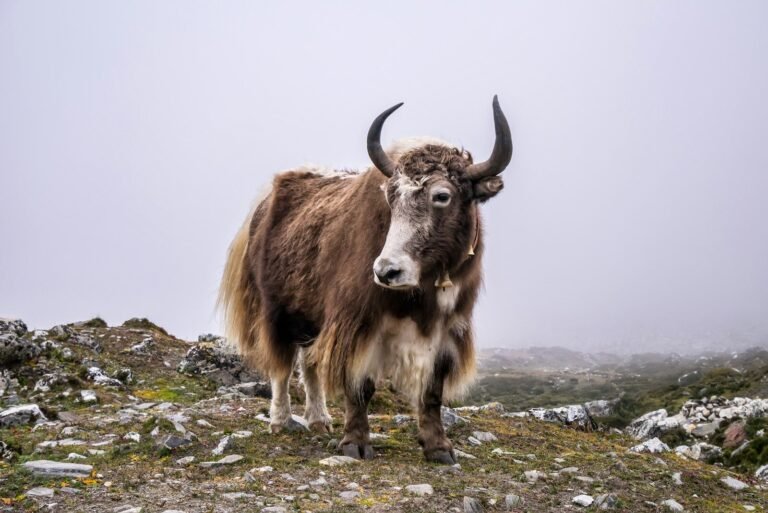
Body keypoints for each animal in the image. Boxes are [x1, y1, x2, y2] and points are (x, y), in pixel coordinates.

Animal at [219, 96, 512, 464]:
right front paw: (355, 444)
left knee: (309, 363)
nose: (387, 272)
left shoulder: (448, 329)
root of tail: (264, 202)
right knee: (282, 366)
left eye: (442, 196)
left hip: (312, 315)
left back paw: (319, 420)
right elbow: (360, 385)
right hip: (277, 310)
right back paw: (282, 421)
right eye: (391, 197)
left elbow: (432, 390)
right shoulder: (358, 323)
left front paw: (439, 448)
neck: (422, 291)